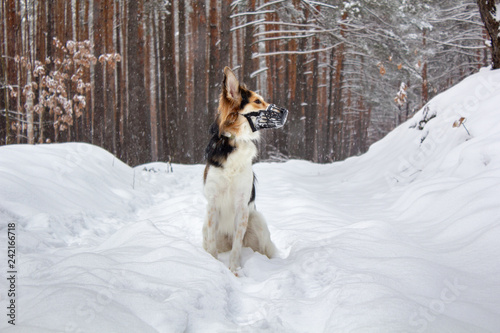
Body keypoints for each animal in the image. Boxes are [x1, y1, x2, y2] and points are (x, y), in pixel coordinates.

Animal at [203, 66, 290, 274]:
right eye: (257, 101)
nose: (285, 111)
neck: (236, 140)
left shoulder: (242, 206)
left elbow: (237, 245)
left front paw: (234, 271)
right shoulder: (212, 204)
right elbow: (212, 243)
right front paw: (213, 266)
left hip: (257, 220)